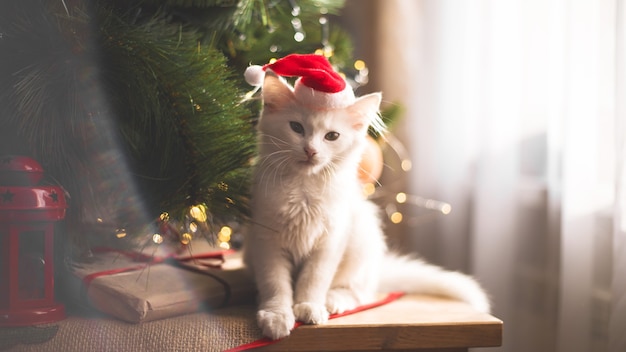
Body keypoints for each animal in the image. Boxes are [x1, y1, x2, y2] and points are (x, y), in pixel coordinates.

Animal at [243, 73, 488, 340]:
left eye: (332, 136)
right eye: (296, 128)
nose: (310, 150)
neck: (303, 189)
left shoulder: (330, 241)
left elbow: (313, 279)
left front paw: (309, 306)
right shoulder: (266, 239)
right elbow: (275, 284)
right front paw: (276, 315)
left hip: (362, 236)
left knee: (358, 293)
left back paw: (333, 301)